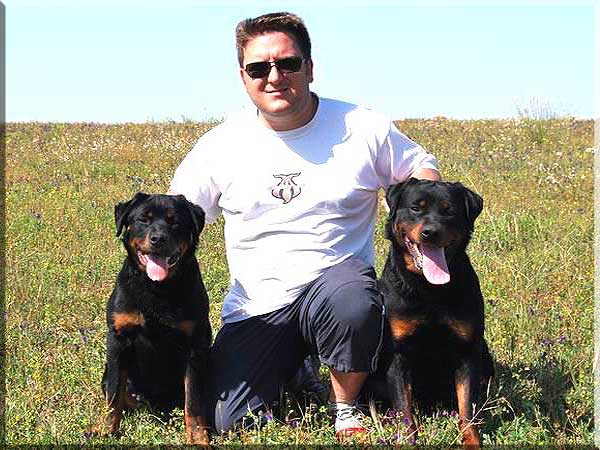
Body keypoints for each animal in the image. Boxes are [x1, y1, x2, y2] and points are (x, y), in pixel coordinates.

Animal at [100, 192, 211, 445]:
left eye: (174, 221)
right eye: (144, 219)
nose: (158, 239)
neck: (156, 288)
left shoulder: (194, 345)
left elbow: (193, 401)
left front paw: (198, 438)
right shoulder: (118, 339)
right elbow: (114, 393)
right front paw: (106, 431)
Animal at [373, 178, 494, 448]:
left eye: (449, 211)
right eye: (416, 208)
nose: (431, 232)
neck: (429, 289)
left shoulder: (467, 351)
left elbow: (467, 407)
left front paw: (471, 440)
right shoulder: (398, 353)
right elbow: (404, 410)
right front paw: (407, 439)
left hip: (484, 351)